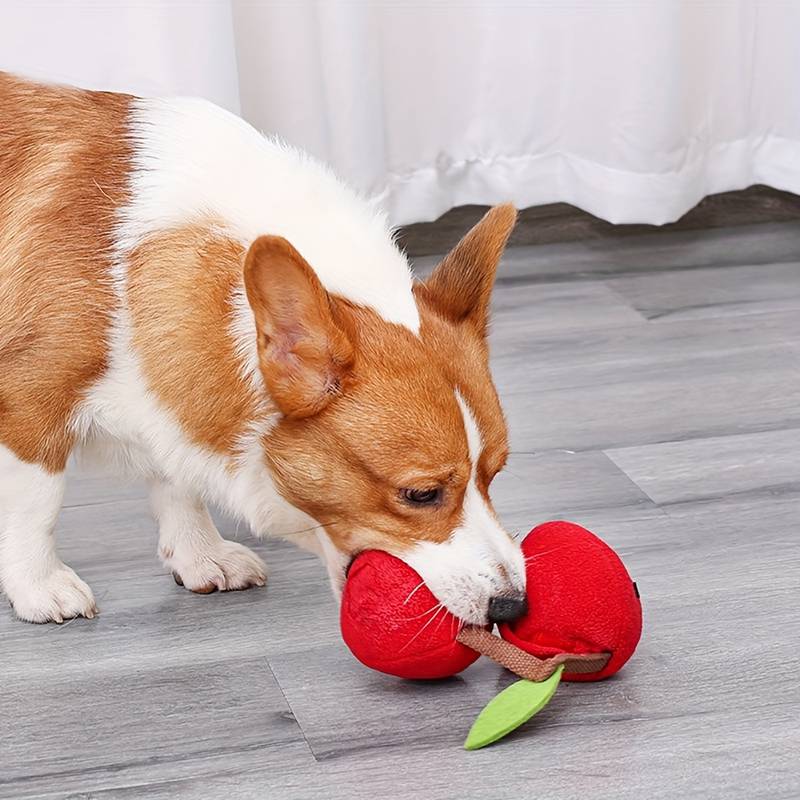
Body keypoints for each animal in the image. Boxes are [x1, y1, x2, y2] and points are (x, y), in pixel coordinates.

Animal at [0, 73, 528, 624]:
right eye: (421, 494)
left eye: (494, 475)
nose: (514, 606)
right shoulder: (30, 403)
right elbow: (37, 504)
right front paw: (39, 586)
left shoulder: (170, 392)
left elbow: (175, 479)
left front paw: (200, 555)